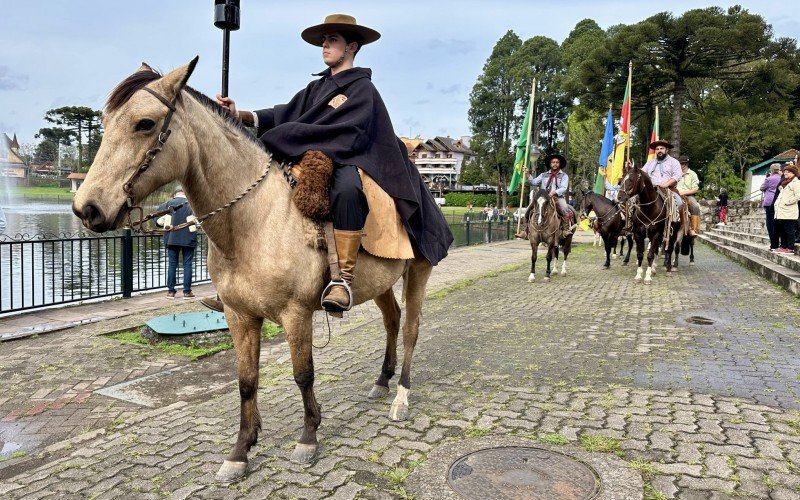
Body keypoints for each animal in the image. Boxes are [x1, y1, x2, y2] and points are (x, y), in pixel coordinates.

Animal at [73, 59, 438, 484]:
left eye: (144, 123)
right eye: (105, 121)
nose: (87, 208)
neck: (253, 222)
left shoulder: (297, 315)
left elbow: (303, 374)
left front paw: (308, 437)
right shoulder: (240, 315)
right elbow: (246, 382)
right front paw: (240, 451)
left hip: (419, 271)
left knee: (411, 329)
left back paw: (401, 397)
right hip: (380, 283)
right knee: (392, 321)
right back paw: (382, 381)